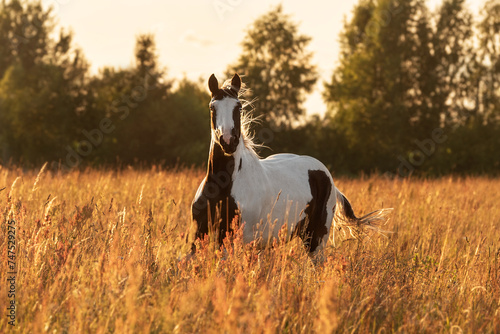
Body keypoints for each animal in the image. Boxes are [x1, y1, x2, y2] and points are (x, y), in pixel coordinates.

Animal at [191, 73, 390, 256]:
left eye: (239, 107)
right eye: (212, 107)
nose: (228, 141)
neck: (222, 186)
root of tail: (329, 180)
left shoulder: (231, 239)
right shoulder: (200, 234)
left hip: (316, 238)